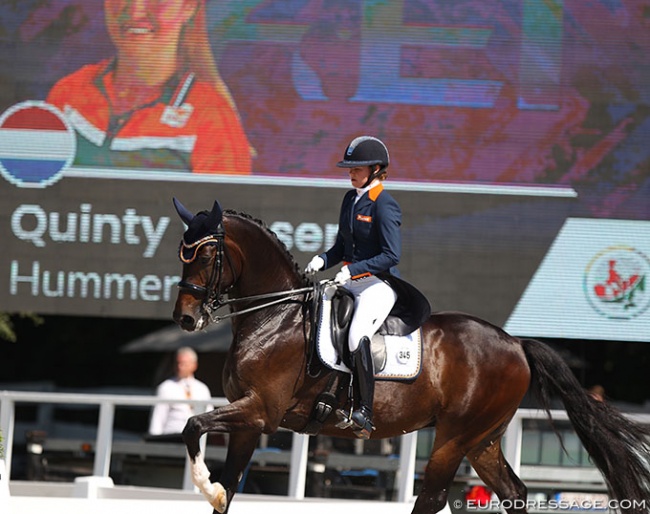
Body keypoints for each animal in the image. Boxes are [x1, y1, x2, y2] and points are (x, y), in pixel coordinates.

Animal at [171, 198, 648, 512]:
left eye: (207, 253)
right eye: (182, 252)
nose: (185, 318)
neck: (276, 316)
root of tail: (516, 343)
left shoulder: (261, 411)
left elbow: (193, 427)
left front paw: (205, 484)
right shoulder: (249, 420)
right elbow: (229, 486)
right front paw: (215, 489)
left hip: (455, 436)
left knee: (433, 498)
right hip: (483, 439)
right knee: (513, 493)